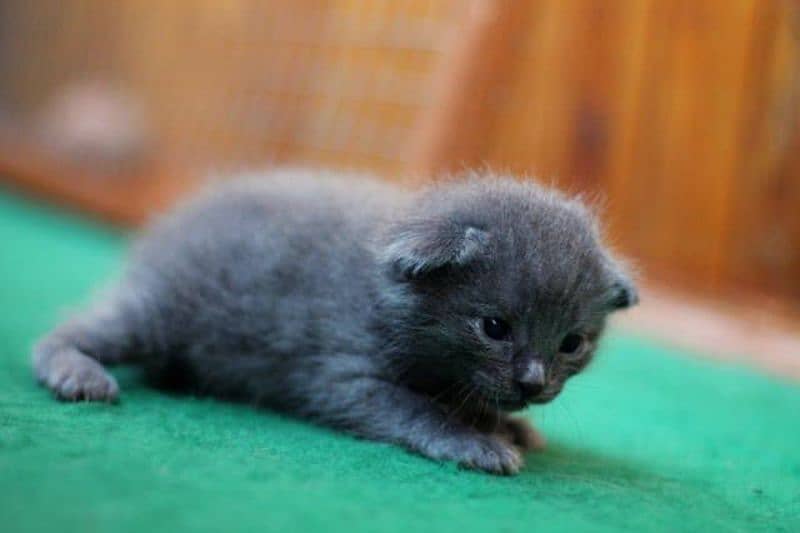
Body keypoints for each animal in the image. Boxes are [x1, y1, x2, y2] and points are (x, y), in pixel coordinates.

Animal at [31, 168, 636, 472]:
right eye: (493, 328)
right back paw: (75, 371)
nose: (534, 381)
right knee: (71, 328)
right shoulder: (345, 373)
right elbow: (414, 409)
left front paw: (504, 424)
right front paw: (473, 441)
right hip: (160, 309)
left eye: (573, 343)